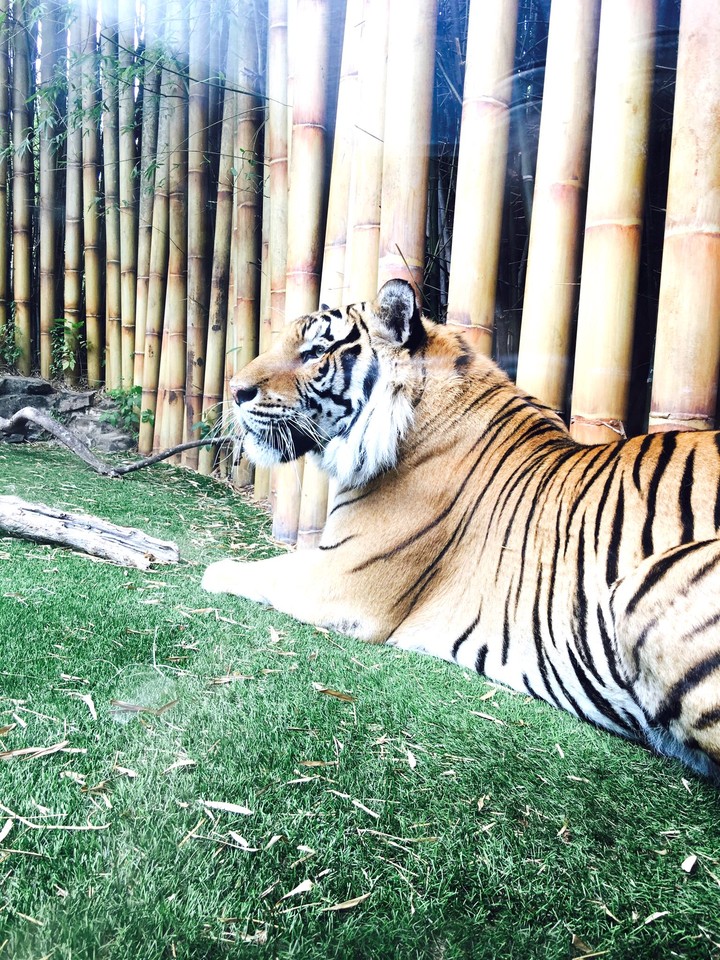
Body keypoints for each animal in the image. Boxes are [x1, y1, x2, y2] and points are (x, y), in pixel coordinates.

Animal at [202, 278, 720, 781]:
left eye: (314, 352)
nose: (235, 389)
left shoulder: (340, 578)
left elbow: (259, 569)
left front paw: (211, 570)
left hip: (650, 584)